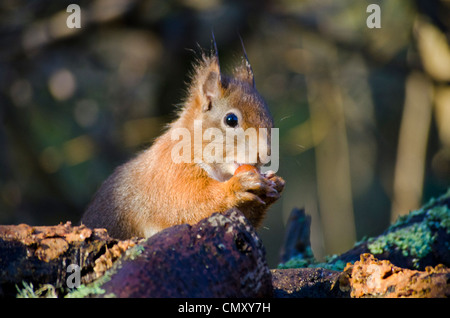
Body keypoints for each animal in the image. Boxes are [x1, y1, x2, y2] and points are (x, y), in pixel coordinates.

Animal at [81, 41, 284, 238]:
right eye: (231, 120)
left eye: (270, 119)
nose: (265, 154)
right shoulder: (169, 176)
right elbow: (188, 205)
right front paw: (238, 187)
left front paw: (276, 183)